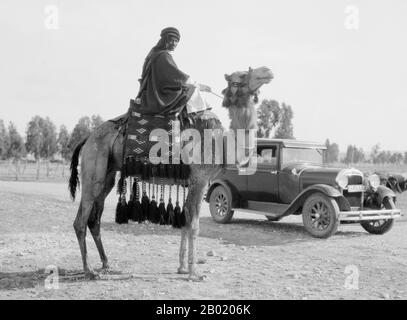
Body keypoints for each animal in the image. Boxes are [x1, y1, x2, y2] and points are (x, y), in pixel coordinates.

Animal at [70, 65, 274, 280]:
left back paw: (106, 264)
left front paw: (182, 267)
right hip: (94, 165)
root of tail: (88, 137)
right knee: (81, 221)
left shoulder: (191, 182)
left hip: (107, 174)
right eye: (239, 78)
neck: (222, 143)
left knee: (94, 219)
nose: (267, 71)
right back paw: (89, 270)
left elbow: (185, 219)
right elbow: (194, 224)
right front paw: (194, 272)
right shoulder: (200, 179)